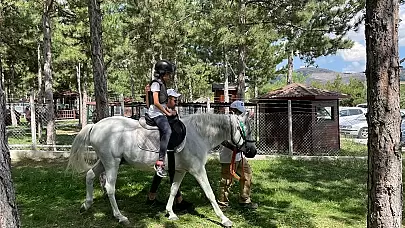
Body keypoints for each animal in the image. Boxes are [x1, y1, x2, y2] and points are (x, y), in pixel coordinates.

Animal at [66, 112, 256, 226]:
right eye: (246, 131)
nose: (252, 151)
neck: (199, 134)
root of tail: (95, 125)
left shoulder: (180, 171)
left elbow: (173, 190)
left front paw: (170, 213)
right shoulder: (197, 170)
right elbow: (210, 194)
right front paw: (224, 219)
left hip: (106, 161)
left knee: (90, 176)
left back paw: (86, 204)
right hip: (112, 162)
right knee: (109, 188)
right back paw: (120, 216)